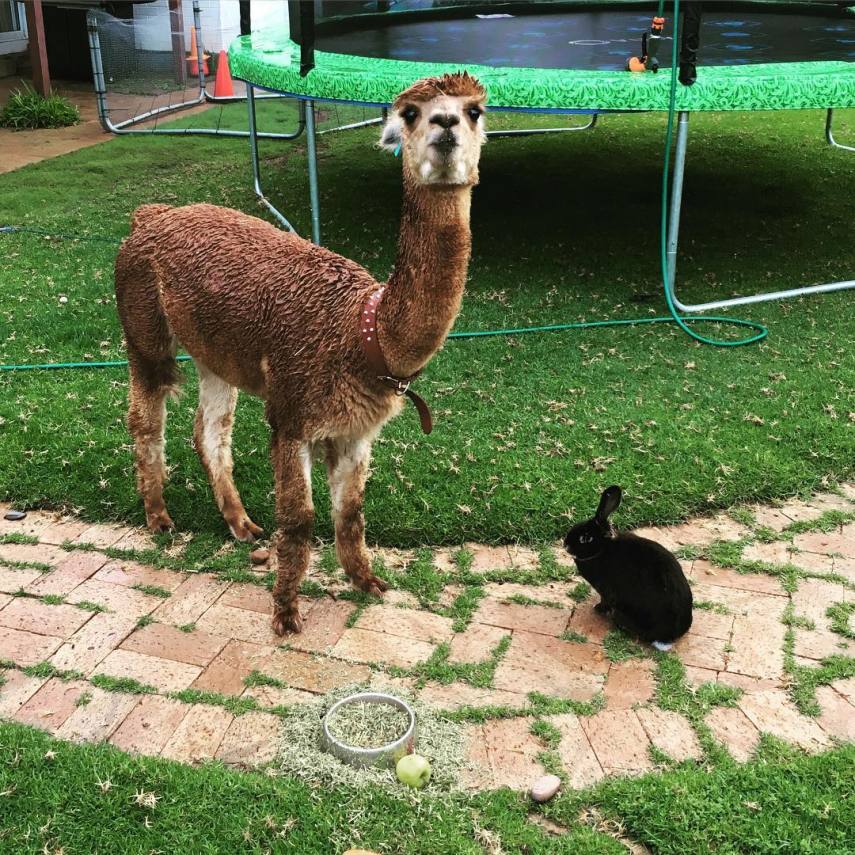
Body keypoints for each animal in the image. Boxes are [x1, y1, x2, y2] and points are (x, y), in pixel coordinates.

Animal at [564, 484, 692, 652]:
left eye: (586, 538)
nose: (565, 545)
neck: (603, 548)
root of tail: (667, 636)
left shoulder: (606, 591)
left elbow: (604, 601)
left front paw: (597, 608)